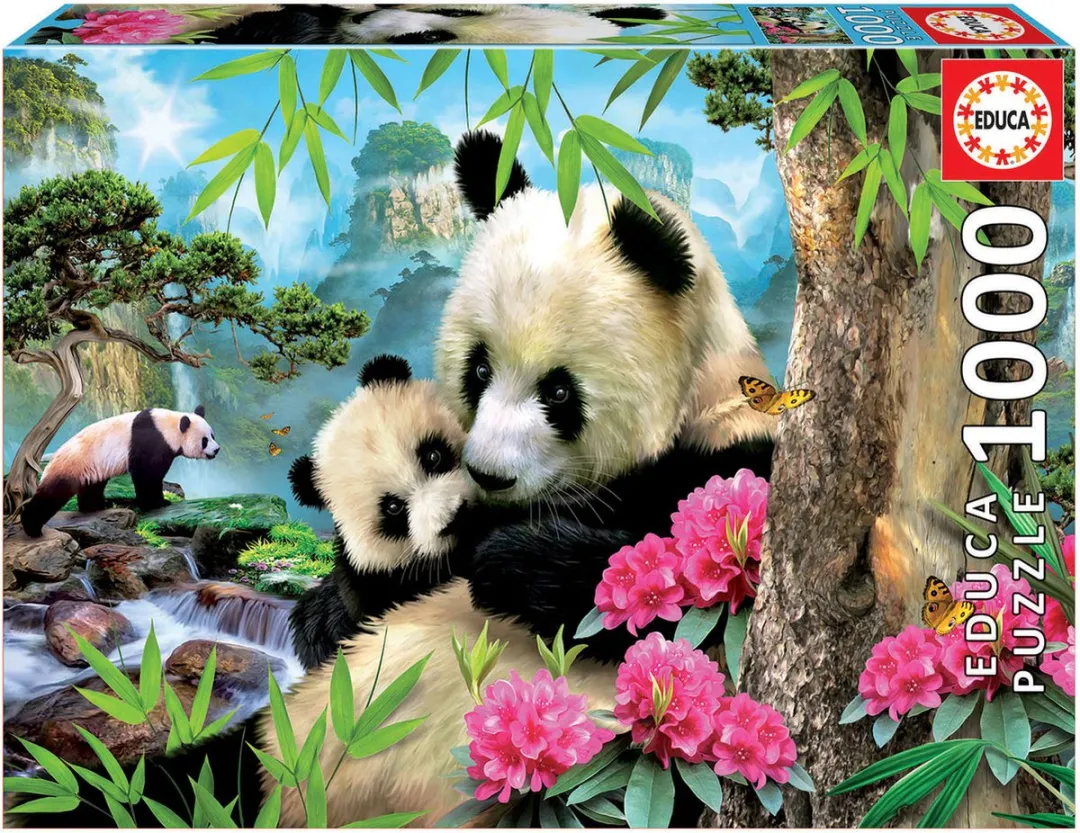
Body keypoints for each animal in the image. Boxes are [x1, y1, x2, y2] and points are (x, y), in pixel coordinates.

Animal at [20, 406, 220, 538]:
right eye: (204, 440)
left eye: (213, 435)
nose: (217, 450)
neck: (169, 425)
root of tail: (53, 457)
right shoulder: (151, 440)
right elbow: (147, 474)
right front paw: (159, 503)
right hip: (72, 465)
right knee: (53, 494)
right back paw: (32, 527)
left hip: (91, 467)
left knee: (92, 487)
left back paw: (95, 507)